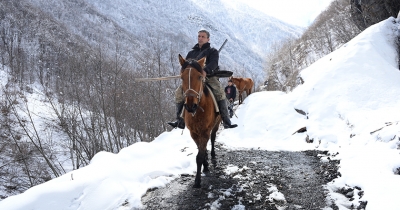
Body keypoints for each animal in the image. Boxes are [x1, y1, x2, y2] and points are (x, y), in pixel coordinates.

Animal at [179, 55, 222, 188]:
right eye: (181, 77)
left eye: (199, 76)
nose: (190, 106)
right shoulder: (194, 133)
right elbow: (200, 151)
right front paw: (205, 165)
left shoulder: (205, 131)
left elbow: (199, 156)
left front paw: (197, 180)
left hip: (216, 124)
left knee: (213, 138)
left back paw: (212, 155)